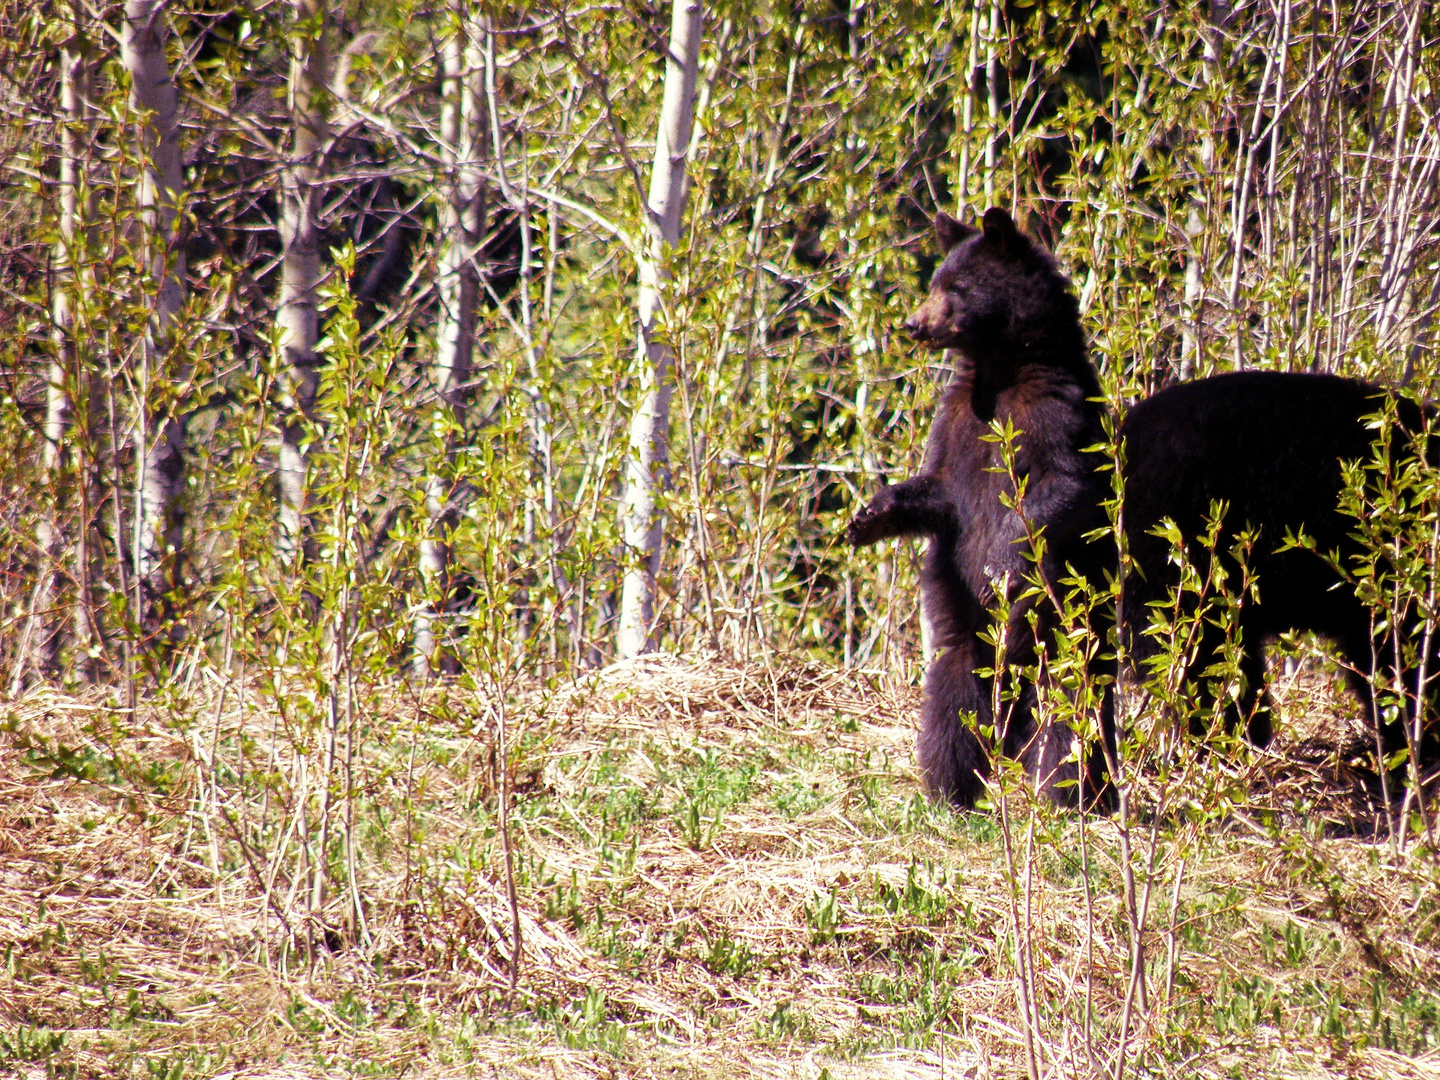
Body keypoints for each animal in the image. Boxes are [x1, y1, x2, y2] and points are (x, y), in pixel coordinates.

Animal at [846, 207, 1434, 806]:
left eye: (956, 290)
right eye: (934, 285)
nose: (912, 326)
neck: (998, 375)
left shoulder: (1060, 423)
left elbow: (1055, 485)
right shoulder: (962, 435)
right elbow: (941, 489)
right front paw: (871, 515)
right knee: (975, 670)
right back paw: (967, 782)